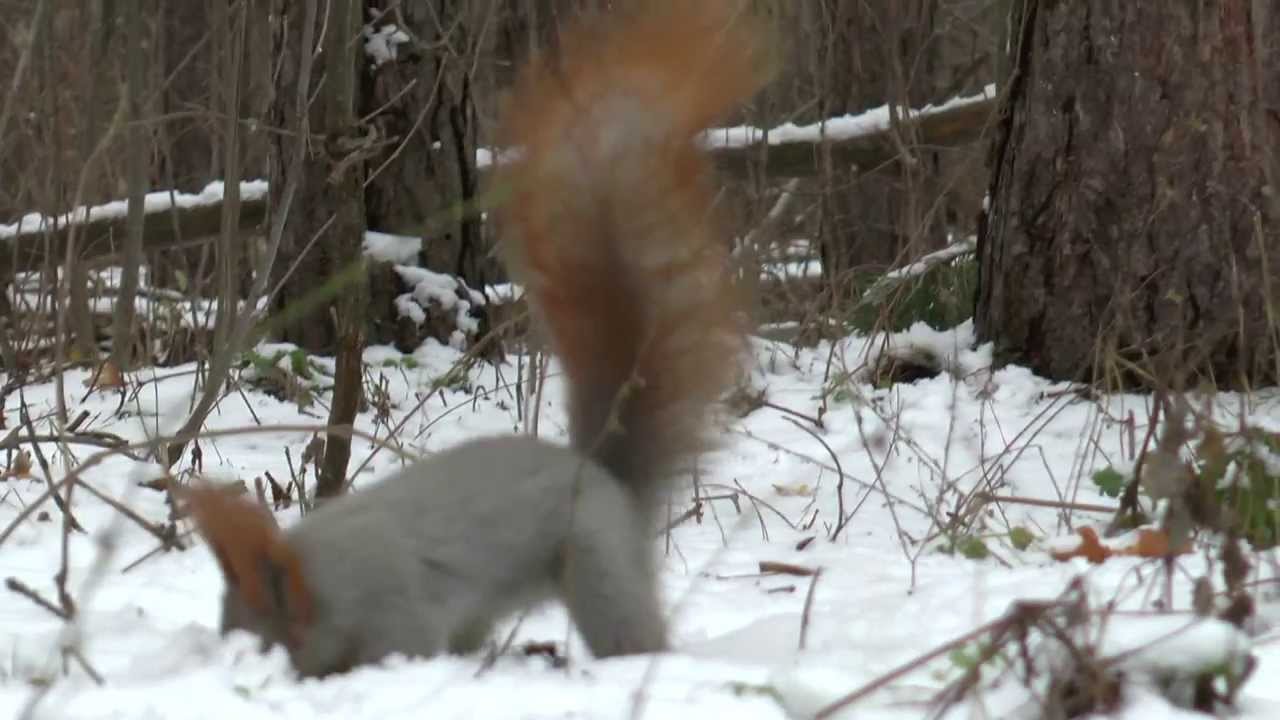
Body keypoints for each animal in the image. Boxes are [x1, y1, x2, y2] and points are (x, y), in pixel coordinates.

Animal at [184, 1, 770, 678]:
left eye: (267, 638)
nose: (236, 668)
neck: (326, 580)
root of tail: (607, 481)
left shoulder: (397, 609)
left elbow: (404, 641)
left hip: (596, 565)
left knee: (627, 627)